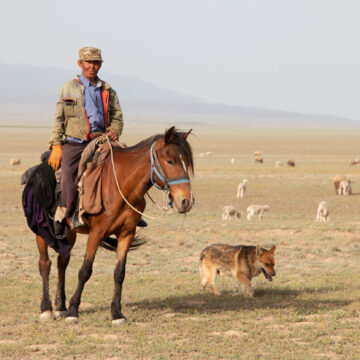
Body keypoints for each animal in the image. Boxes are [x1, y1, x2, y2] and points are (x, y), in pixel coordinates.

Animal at [35, 126, 194, 324]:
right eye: (170, 161)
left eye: (187, 163)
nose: (186, 201)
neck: (122, 186)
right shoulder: (96, 233)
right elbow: (85, 271)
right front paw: (73, 310)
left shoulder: (127, 233)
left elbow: (119, 273)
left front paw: (117, 313)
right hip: (41, 231)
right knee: (45, 264)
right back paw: (46, 309)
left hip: (69, 232)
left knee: (61, 262)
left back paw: (60, 307)